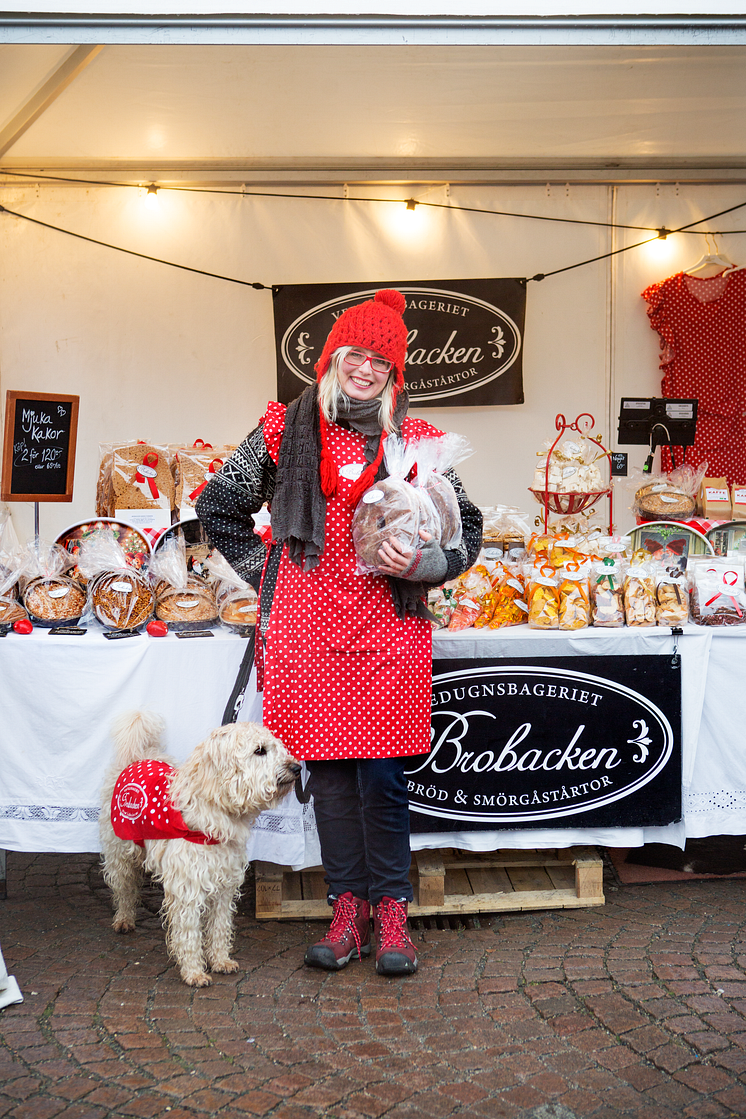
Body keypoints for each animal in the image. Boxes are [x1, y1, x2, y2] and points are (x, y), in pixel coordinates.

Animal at [98, 711, 299, 984]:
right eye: (260, 751)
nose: (297, 768)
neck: (213, 810)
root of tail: (137, 755)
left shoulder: (224, 884)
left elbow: (219, 926)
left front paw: (221, 960)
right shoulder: (187, 888)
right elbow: (189, 932)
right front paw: (194, 972)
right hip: (119, 853)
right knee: (124, 889)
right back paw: (124, 919)